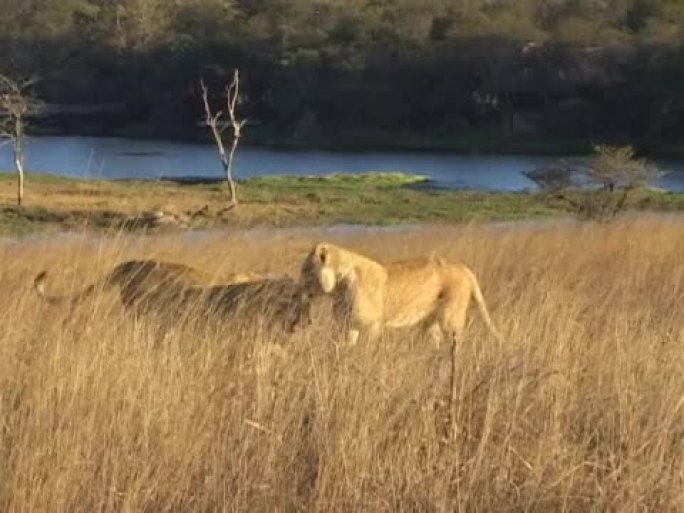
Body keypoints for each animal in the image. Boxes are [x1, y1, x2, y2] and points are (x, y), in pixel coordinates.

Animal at [302, 242, 500, 346]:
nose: (300, 289)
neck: (338, 288)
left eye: (306, 271)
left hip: (450, 320)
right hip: (430, 324)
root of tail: (464, 268)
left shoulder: (373, 326)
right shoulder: (348, 325)